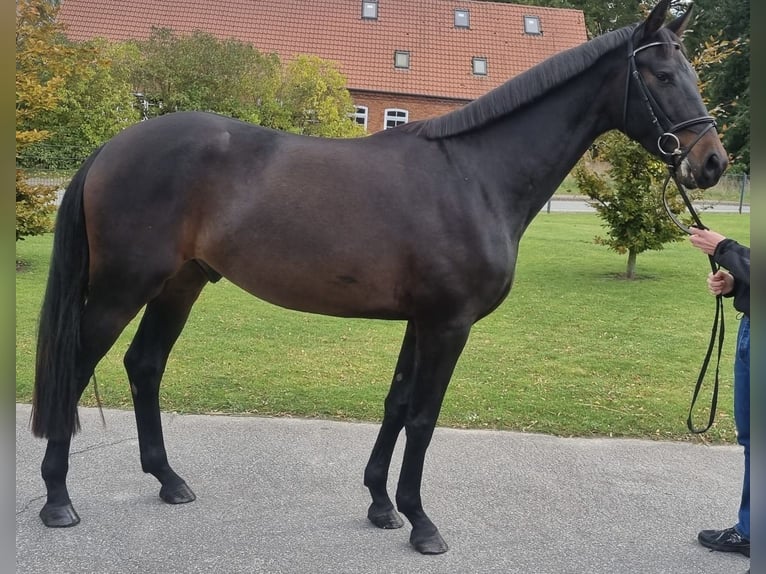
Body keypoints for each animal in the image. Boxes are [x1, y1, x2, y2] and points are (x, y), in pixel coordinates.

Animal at [31, 0, 726, 554]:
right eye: (663, 76)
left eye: (691, 74)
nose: (712, 162)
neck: (474, 175)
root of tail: (114, 146)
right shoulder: (448, 324)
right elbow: (422, 417)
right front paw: (422, 523)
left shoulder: (422, 320)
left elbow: (395, 405)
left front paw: (381, 505)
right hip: (122, 288)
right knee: (76, 366)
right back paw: (57, 501)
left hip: (181, 283)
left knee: (144, 365)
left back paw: (169, 481)